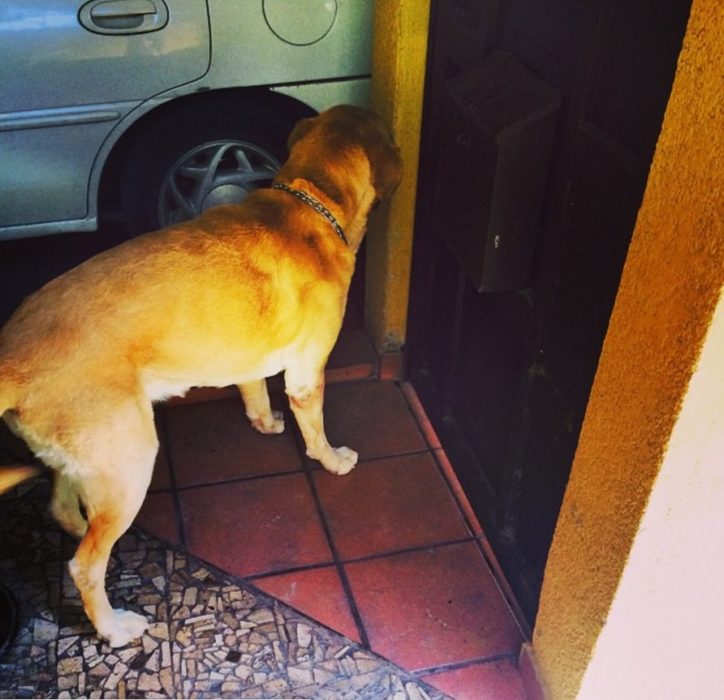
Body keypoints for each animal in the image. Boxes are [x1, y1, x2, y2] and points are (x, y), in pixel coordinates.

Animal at [0, 106, 402, 648]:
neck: (309, 199)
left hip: (86, 457)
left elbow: (254, 394)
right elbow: (315, 431)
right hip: (130, 461)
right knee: (84, 567)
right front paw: (333, 460)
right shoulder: (306, 373)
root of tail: (11, 356)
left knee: (64, 508)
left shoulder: (249, 358)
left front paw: (266, 424)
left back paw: (82, 527)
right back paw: (113, 627)